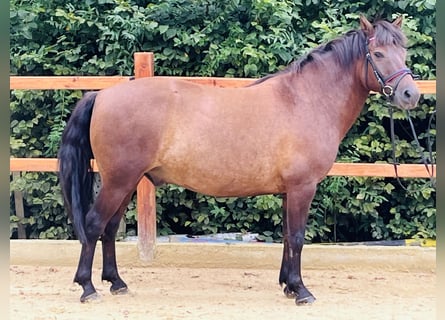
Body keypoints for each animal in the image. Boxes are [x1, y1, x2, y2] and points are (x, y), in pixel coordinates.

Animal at [57, 16, 418, 306]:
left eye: (404, 52)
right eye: (378, 54)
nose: (411, 95)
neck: (305, 100)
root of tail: (102, 94)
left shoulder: (288, 191)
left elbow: (287, 236)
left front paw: (287, 285)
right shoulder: (302, 188)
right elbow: (298, 237)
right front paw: (301, 291)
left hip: (127, 181)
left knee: (109, 228)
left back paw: (116, 282)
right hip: (119, 180)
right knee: (93, 225)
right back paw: (88, 287)